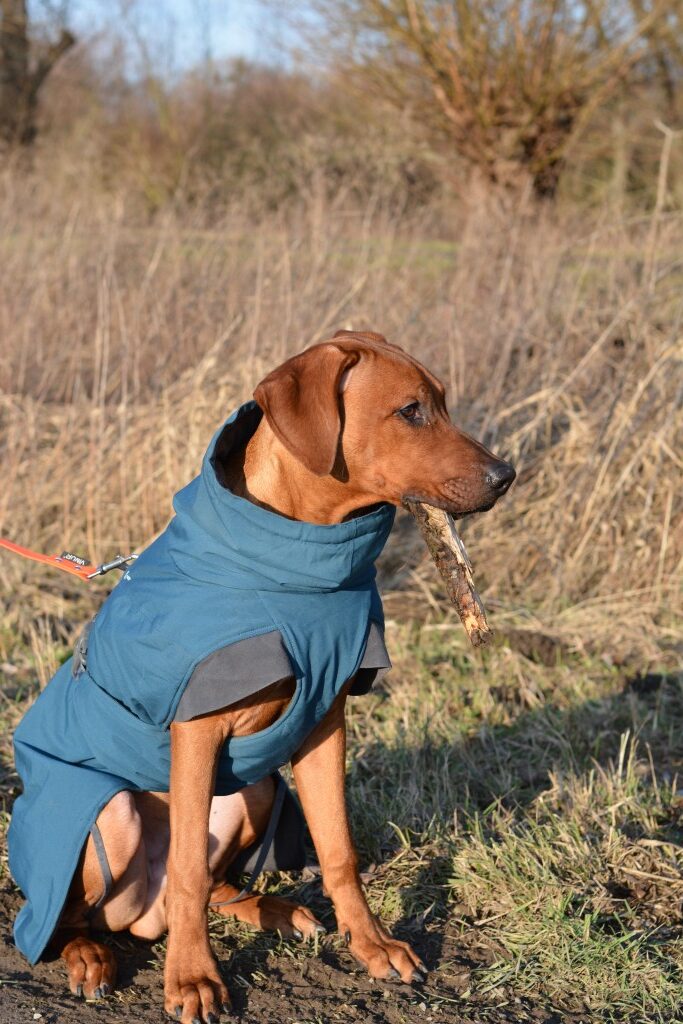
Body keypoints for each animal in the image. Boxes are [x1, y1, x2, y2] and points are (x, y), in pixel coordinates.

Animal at [8, 330, 515, 1023]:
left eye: (441, 404)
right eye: (411, 411)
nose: (507, 476)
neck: (298, 567)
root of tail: (142, 918)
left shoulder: (325, 723)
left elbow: (338, 849)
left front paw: (373, 945)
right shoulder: (197, 730)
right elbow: (187, 867)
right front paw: (192, 979)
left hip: (258, 787)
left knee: (214, 888)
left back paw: (275, 909)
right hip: (109, 812)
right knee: (73, 916)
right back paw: (91, 955)